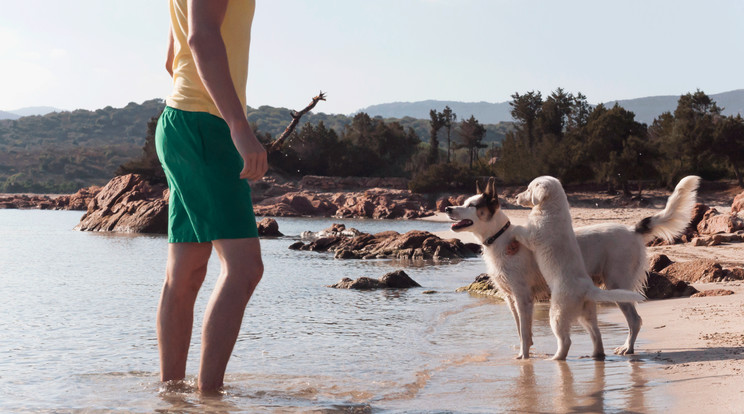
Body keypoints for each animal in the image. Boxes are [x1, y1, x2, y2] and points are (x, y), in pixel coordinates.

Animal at [444, 175, 700, 360]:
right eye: (463, 203)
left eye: (472, 205)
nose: (447, 209)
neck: (499, 237)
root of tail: (632, 230)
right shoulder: (510, 298)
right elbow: (520, 330)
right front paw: (523, 350)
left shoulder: (522, 296)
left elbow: (525, 332)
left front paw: (525, 357)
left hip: (616, 284)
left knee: (635, 320)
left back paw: (626, 348)